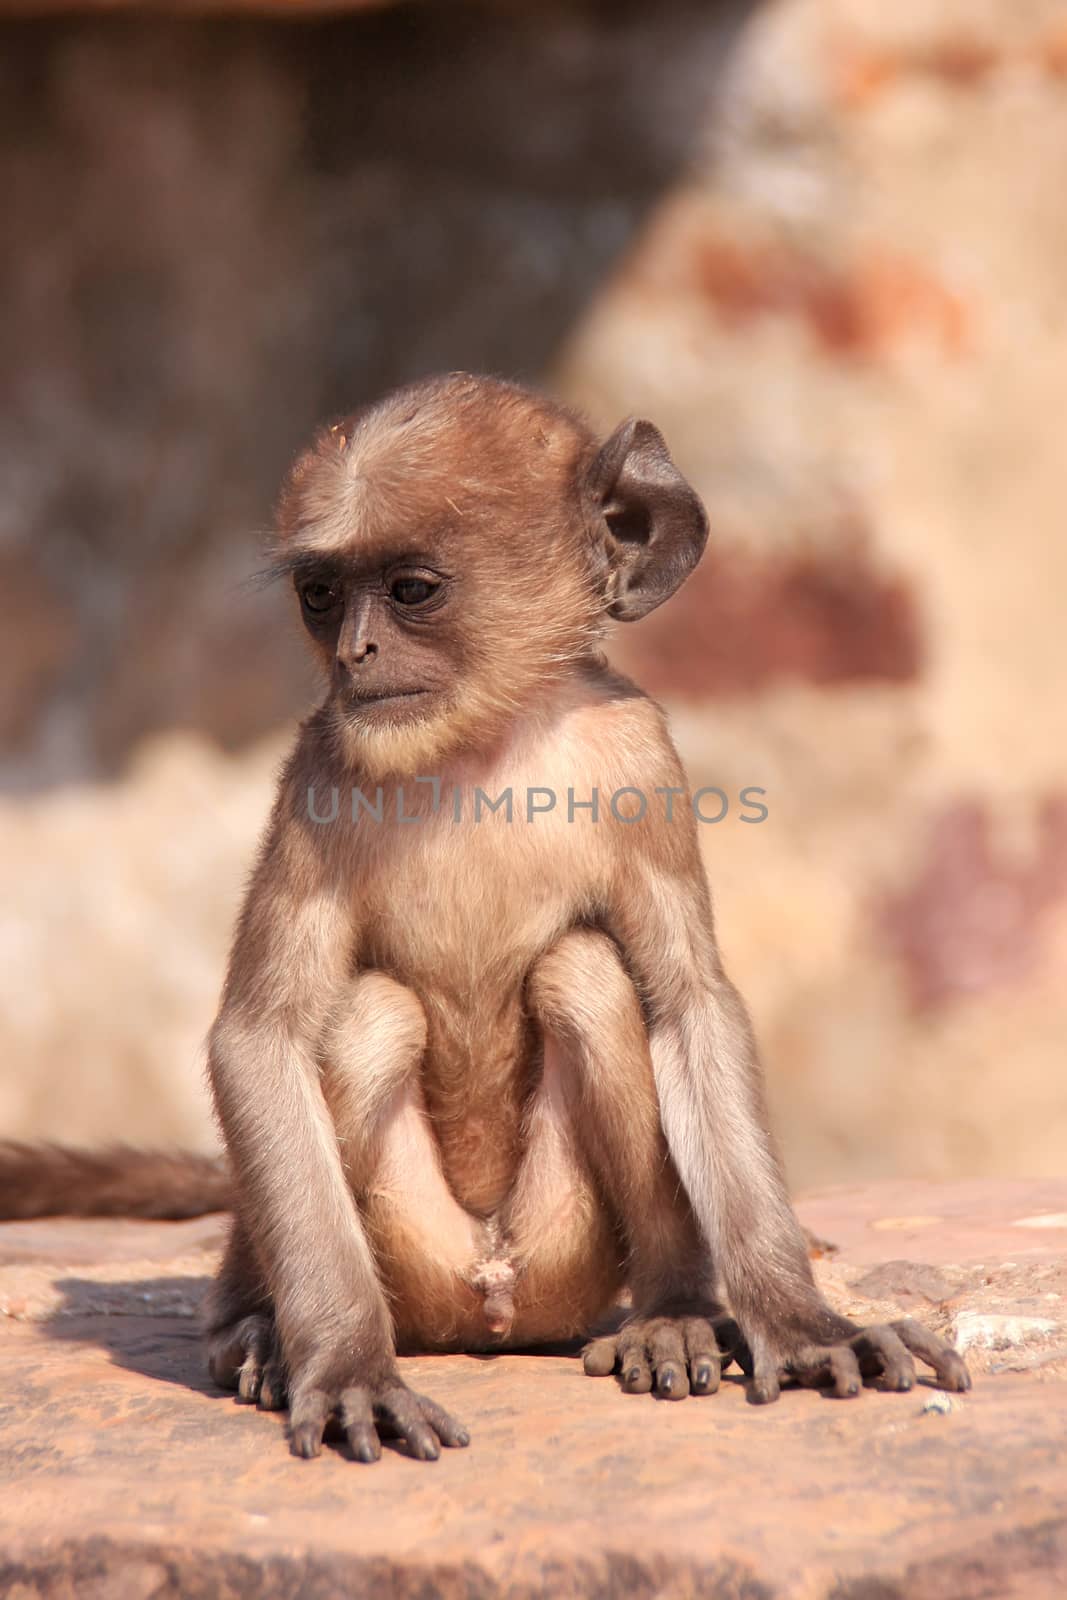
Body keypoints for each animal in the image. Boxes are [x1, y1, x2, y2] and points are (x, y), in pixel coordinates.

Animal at [4, 374, 972, 1465]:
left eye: (410, 590)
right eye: (320, 594)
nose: (356, 651)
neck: (479, 744)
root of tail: (489, 1298)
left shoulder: (640, 756)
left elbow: (690, 1004)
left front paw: (800, 1323)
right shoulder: (317, 768)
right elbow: (256, 1038)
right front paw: (345, 1367)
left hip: (567, 1253)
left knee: (586, 972)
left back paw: (673, 1311)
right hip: (408, 1251)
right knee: (372, 1013)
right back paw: (257, 1325)